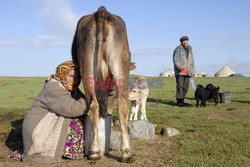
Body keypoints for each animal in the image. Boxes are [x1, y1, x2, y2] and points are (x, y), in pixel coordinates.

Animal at [72, 6, 133, 162]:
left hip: (90, 68)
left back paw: (96, 151)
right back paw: (124, 152)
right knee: (121, 105)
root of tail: (102, 11)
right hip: (118, 67)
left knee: (94, 105)